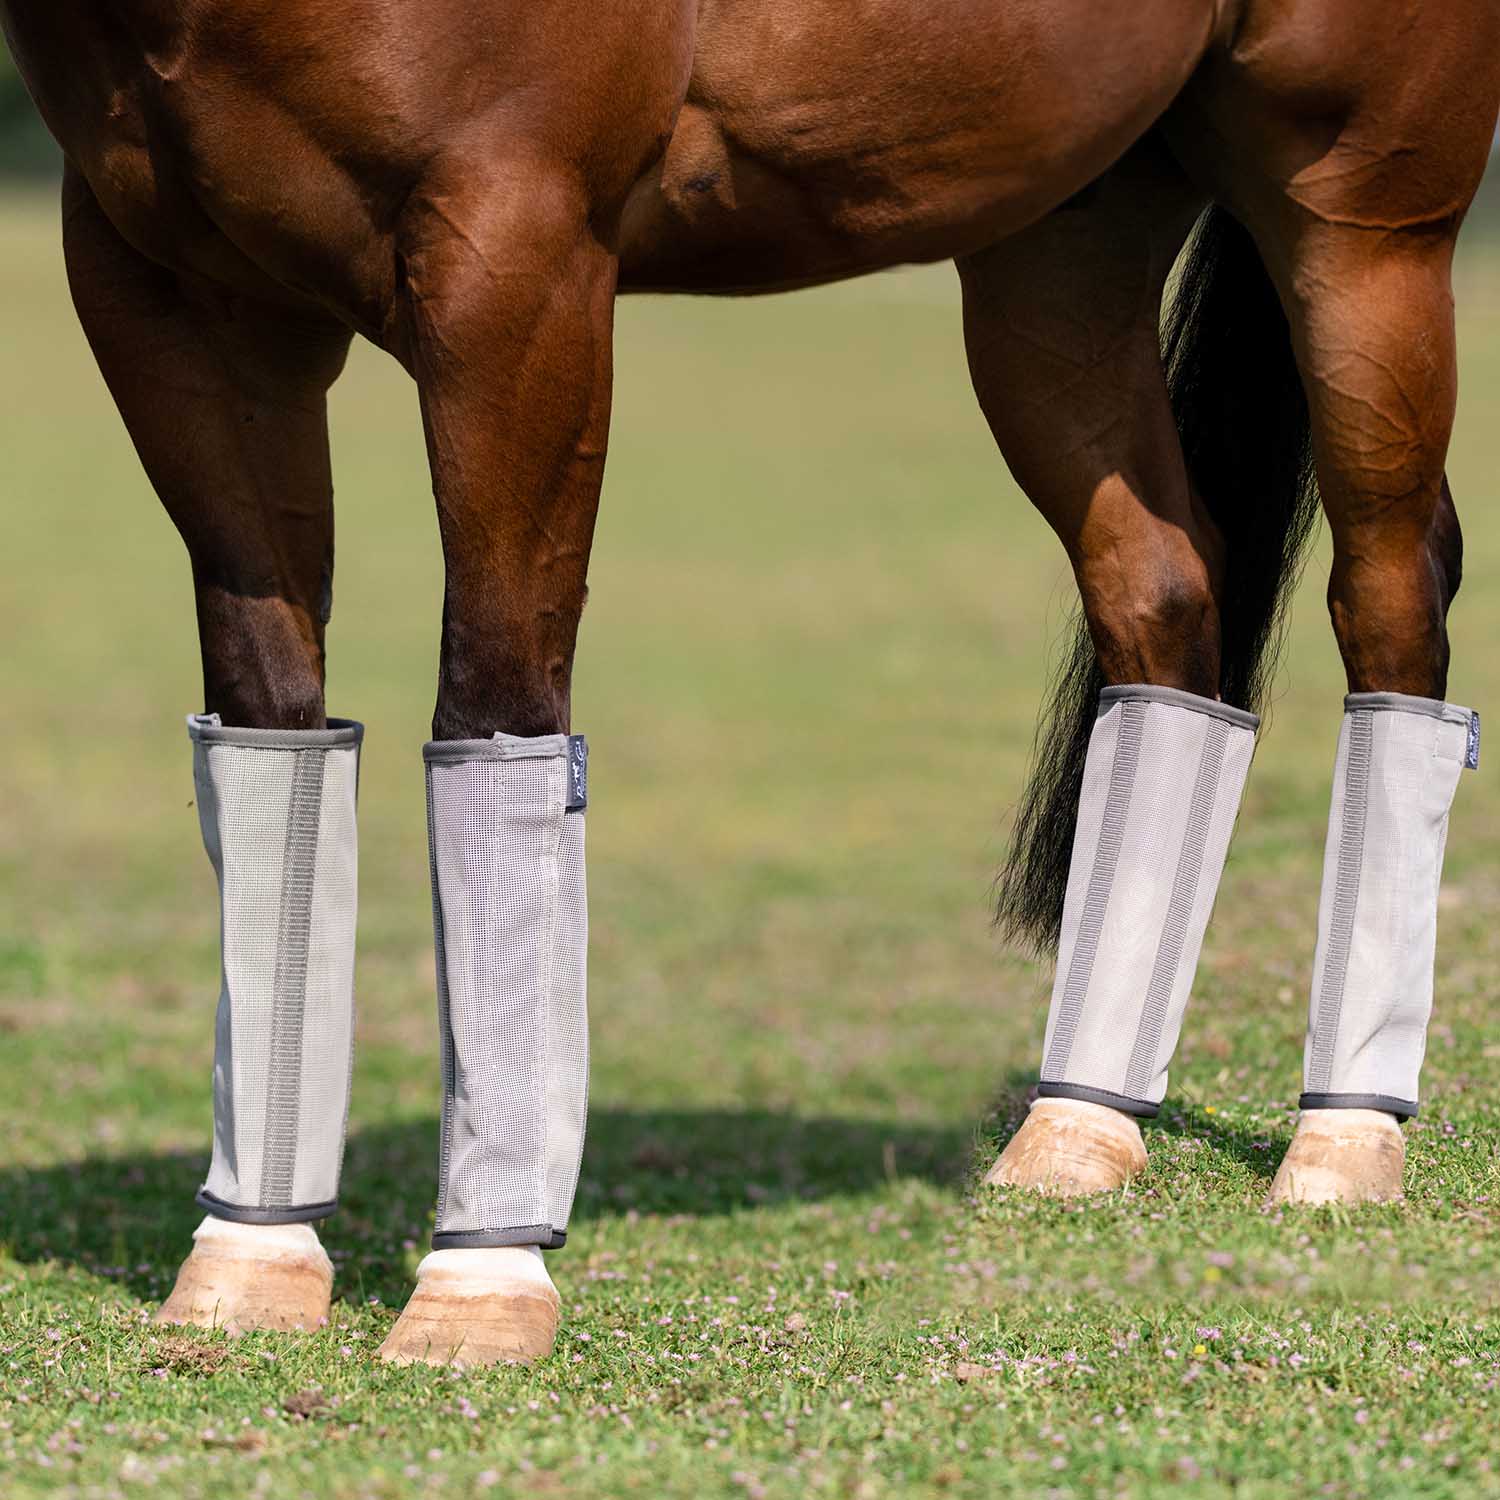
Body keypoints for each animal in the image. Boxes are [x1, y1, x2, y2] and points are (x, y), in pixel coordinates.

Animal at [2, 0, 1495, 1365]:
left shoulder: (516, 266)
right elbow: (273, 719)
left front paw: (482, 1284)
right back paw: (1078, 1127)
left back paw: (1343, 1143)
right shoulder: (171, 296)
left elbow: (495, 696)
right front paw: (248, 1262)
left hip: (1356, 216)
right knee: (1165, 602)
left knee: (1389, 599)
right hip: (1062, 248)